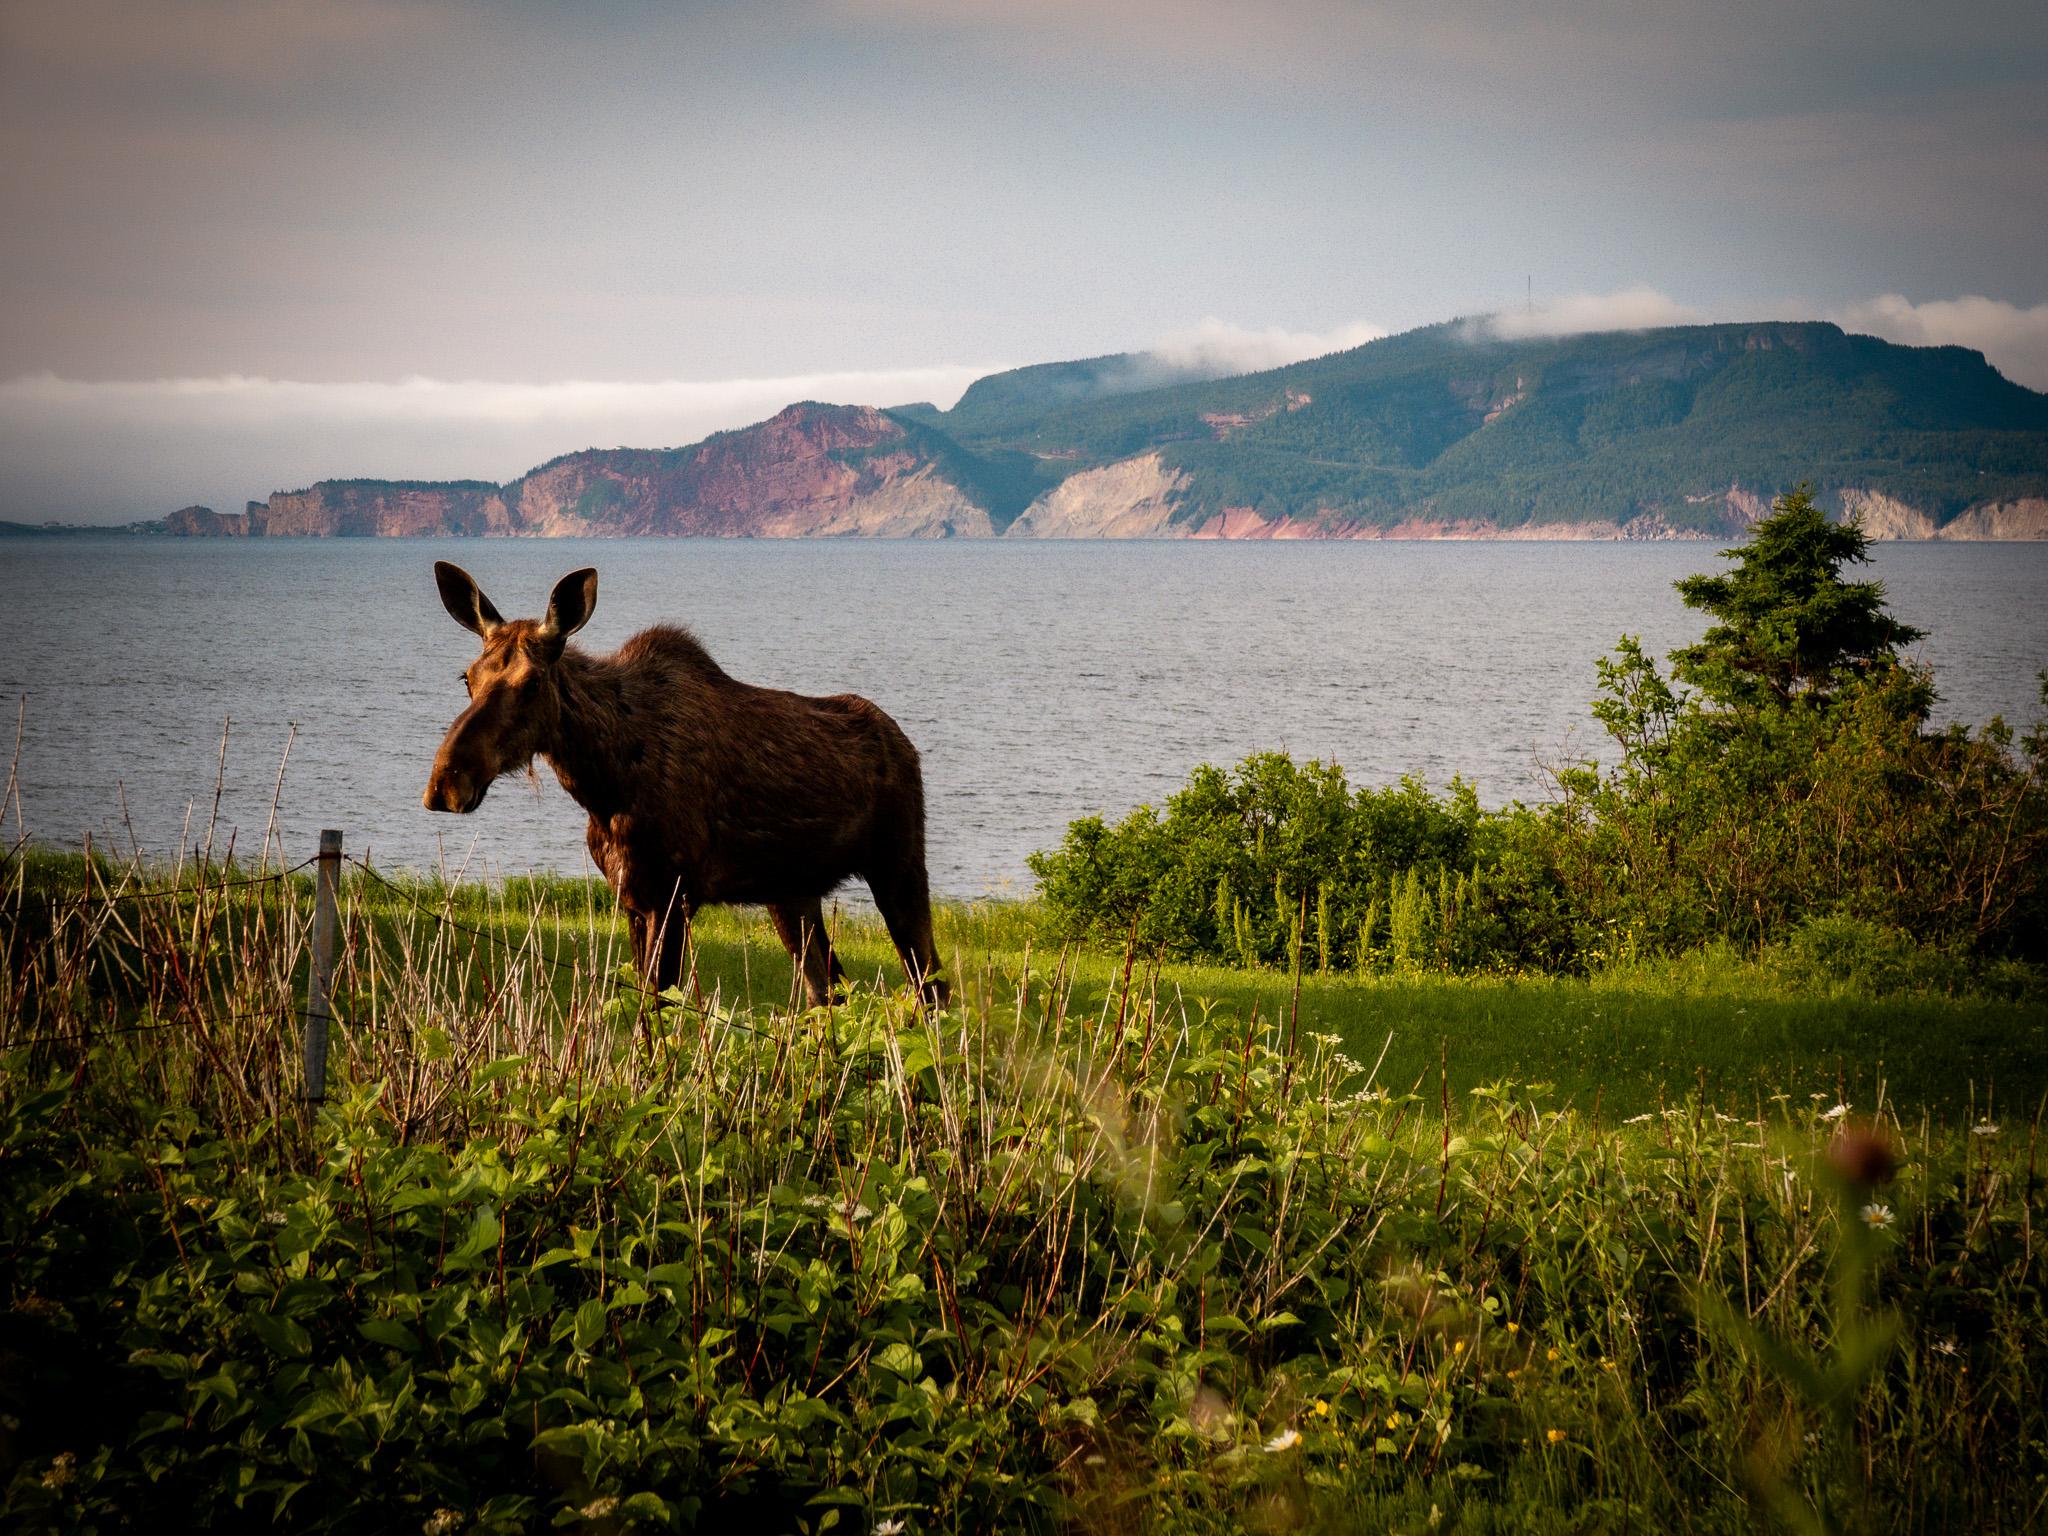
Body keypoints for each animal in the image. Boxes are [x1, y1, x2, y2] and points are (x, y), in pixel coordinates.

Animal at [430, 565, 950, 1011]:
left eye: (532, 683)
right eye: (467, 678)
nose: (445, 783)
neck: (603, 786)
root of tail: (905, 744)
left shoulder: (673, 895)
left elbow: (660, 1014)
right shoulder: (632, 898)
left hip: (899, 864)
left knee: (932, 986)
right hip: (792, 892)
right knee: (829, 991)